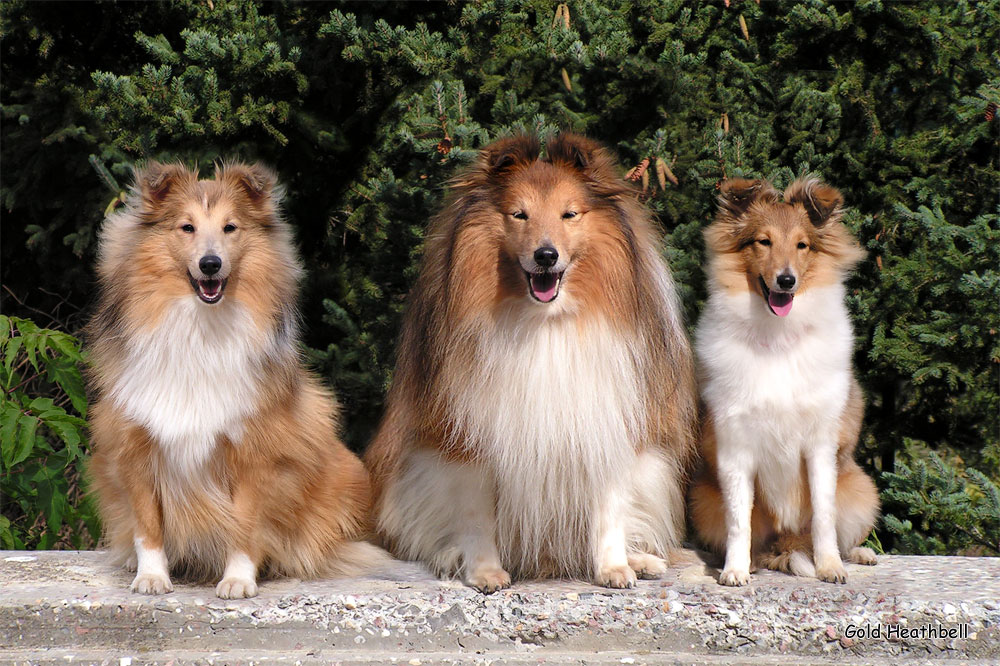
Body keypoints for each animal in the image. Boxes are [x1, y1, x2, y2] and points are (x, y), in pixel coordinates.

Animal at [88, 161, 378, 596]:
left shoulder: (255, 452)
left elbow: (245, 525)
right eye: (186, 227)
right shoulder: (135, 447)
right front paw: (152, 576)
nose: (210, 264)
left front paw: (238, 580)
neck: (201, 326)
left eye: (230, 227)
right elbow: (147, 525)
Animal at [364, 135, 700, 592]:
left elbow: (610, 508)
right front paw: (485, 572)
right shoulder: (468, 438)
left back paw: (642, 560)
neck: (546, 322)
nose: (545, 255)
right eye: (518, 214)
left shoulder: (610, 421)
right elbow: (476, 516)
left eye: (569, 214)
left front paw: (613, 567)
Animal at [692, 178, 880, 588]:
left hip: (861, 488)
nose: (786, 280)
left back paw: (860, 554)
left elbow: (824, 516)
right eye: (763, 242)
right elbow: (739, 522)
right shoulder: (734, 446)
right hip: (703, 500)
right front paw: (734, 570)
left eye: (802, 245)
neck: (777, 336)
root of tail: (787, 540)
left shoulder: (821, 445)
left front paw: (830, 567)